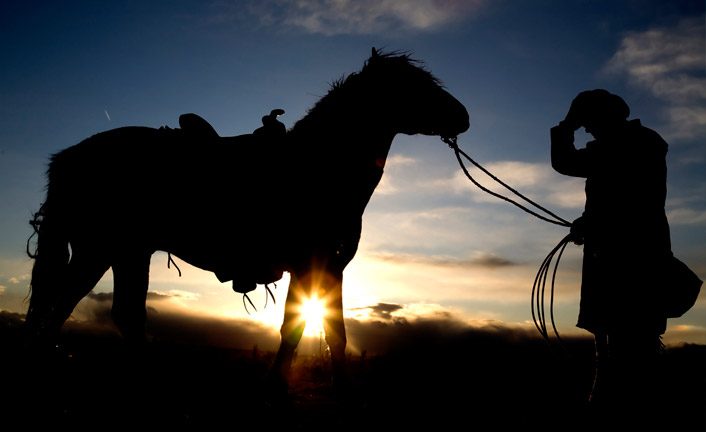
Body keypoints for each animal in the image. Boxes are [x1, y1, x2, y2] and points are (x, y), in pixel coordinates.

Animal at [24, 48, 469, 393]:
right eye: (414, 84)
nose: (463, 116)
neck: (319, 166)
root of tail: (67, 158)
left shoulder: (323, 269)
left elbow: (323, 333)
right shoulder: (314, 265)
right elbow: (306, 331)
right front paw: (289, 389)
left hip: (121, 252)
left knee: (105, 311)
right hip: (104, 250)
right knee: (73, 307)